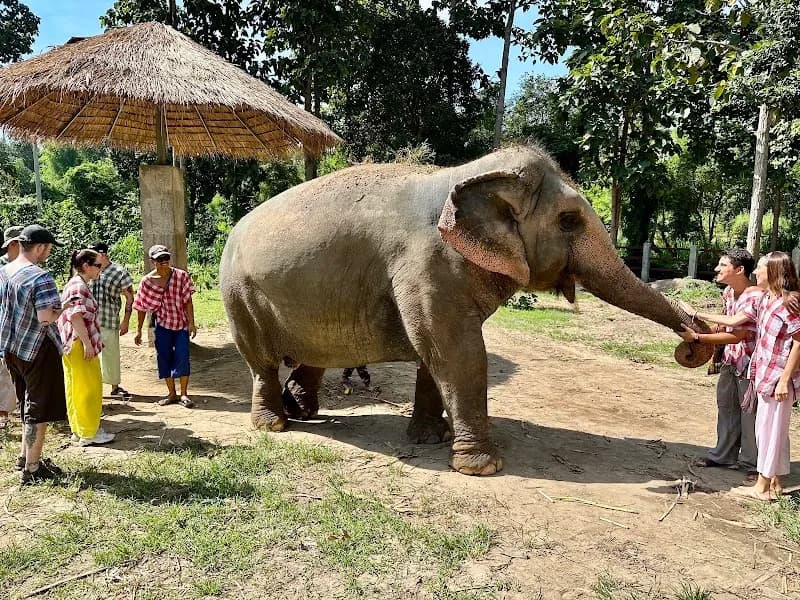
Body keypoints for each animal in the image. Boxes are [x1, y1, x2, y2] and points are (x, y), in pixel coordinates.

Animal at [219, 144, 711, 476]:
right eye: (569, 220)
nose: (694, 339)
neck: (468, 174)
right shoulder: (427, 262)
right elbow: (458, 351)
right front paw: (482, 466)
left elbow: (434, 354)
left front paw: (430, 437)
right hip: (239, 296)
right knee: (262, 362)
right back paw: (274, 426)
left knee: (315, 355)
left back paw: (302, 411)